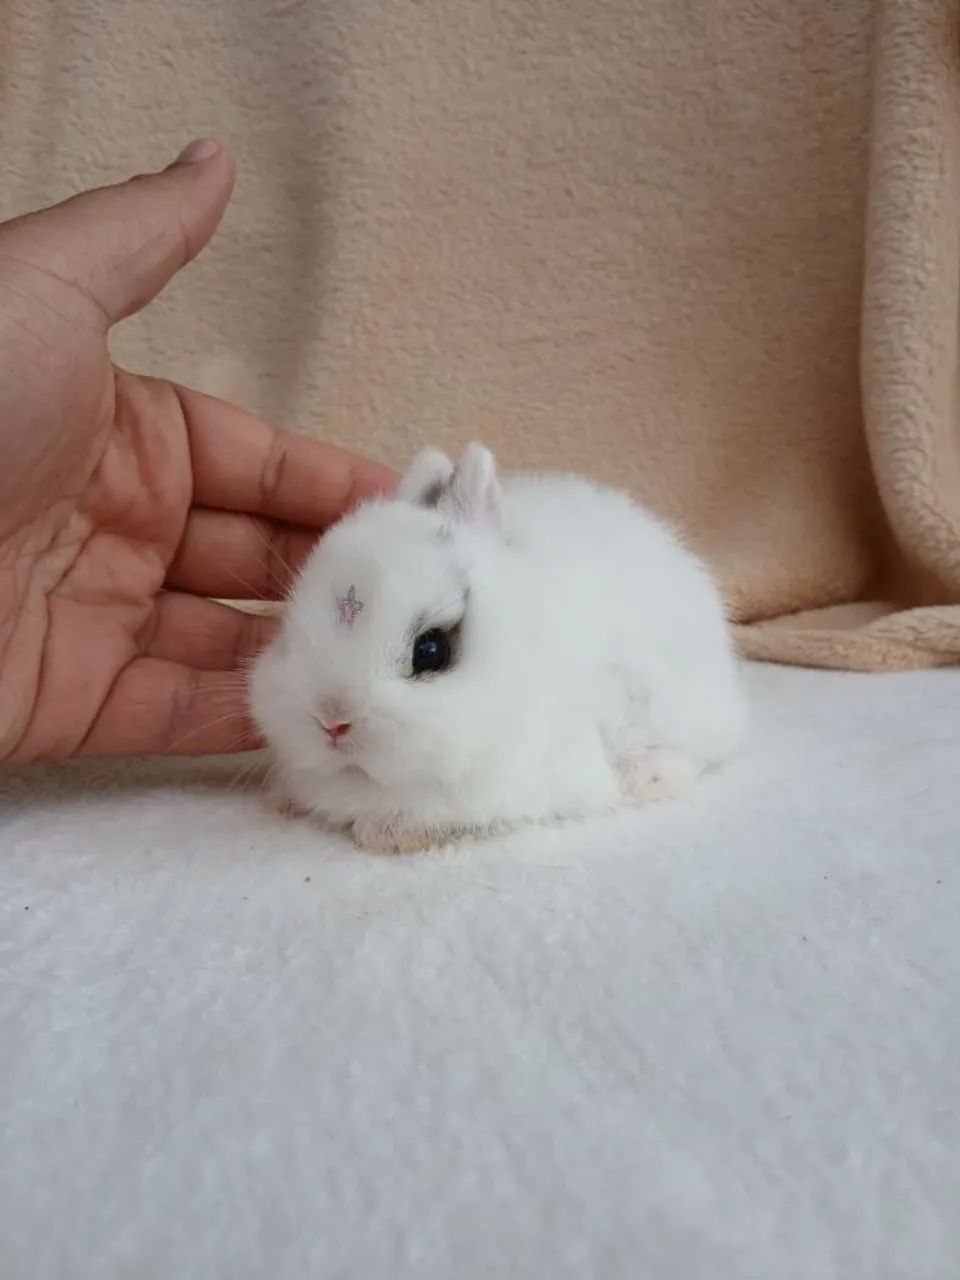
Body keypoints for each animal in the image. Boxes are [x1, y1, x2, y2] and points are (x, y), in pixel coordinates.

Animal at [248, 443, 745, 853]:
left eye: (432, 650)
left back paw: (643, 776)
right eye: (288, 628)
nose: (332, 720)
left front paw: (384, 833)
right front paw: (283, 797)